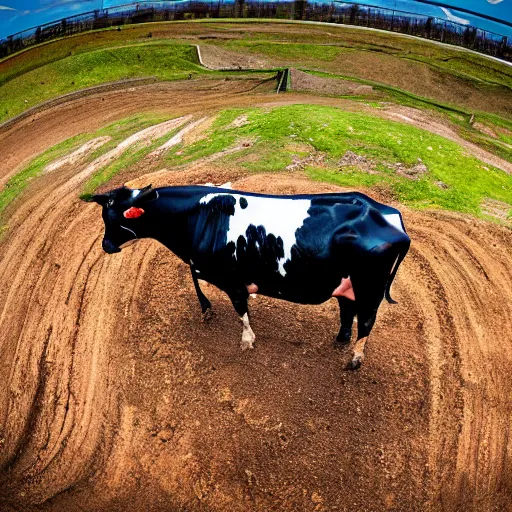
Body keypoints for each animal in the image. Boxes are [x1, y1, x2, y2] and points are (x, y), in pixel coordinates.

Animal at [91, 184, 412, 368]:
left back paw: (354, 360)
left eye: (115, 219)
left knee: (366, 320)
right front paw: (207, 309)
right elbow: (195, 276)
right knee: (348, 310)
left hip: (370, 286)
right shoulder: (202, 264)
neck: (201, 216)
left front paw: (246, 339)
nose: (105, 245)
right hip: (347, 283)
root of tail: (388, 215)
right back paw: (341, 339)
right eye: (104, 216)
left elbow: (240, 309)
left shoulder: (230, 278)